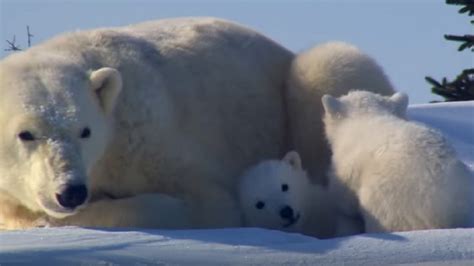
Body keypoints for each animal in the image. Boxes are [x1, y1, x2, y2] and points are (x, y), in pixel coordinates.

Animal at [0, 17, 392, 229]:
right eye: (26, 134)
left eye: (85, 130)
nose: (70, 191)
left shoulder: (148, 138)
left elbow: (207, 202)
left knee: (329, 68)